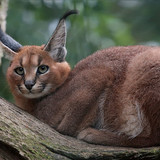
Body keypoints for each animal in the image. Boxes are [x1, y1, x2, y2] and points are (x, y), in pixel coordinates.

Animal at [0, 10, 160, 148]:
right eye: (19, 70)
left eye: (42, 68)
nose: (29, 84)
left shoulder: (100, 74)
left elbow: (67, 126)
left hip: (142, 64)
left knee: (154, 137)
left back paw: (94, 135)